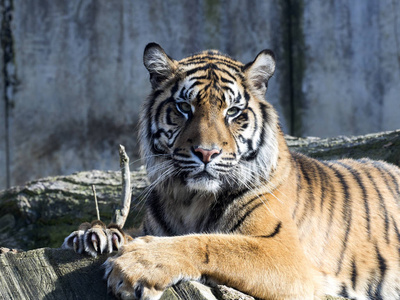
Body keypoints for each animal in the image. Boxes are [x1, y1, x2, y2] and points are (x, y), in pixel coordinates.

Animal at [61, 42, 400, 300]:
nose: (206, 153)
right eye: (184, 107)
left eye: (233, 112)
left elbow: (212, 242)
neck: (190, 200)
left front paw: (136, 264)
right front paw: (95, 234)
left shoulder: (285, 253)